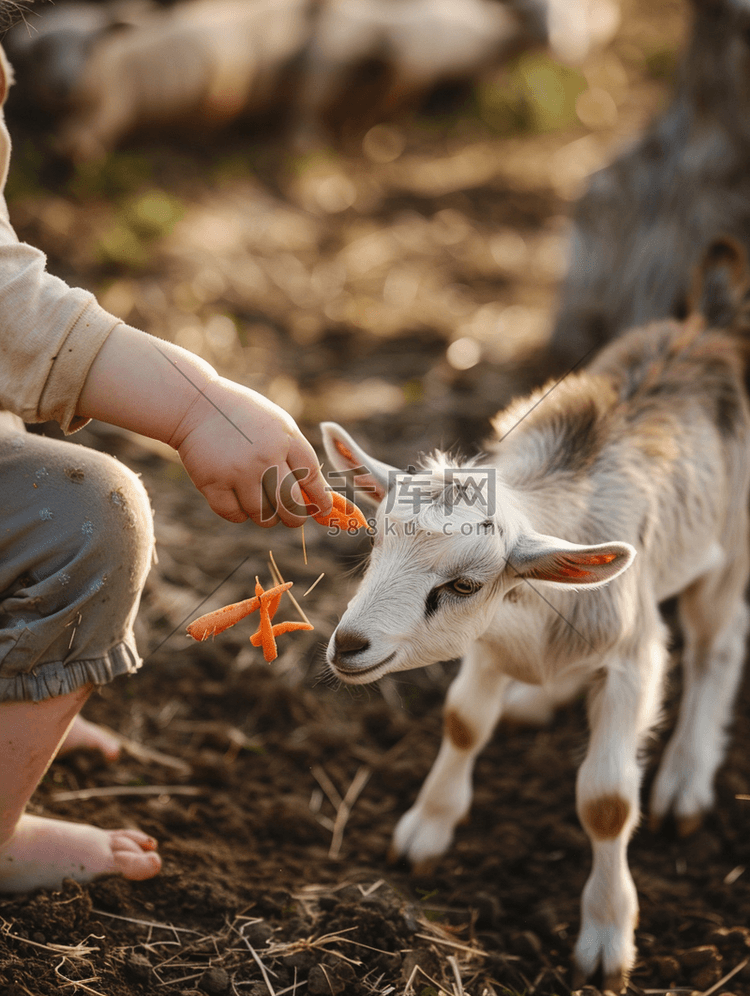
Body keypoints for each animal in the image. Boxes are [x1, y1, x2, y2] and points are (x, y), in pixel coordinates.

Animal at [320, 237, 750, 992]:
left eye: (464, 585)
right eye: (375, 543)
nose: (348, 645)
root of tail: (708, 324)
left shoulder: (632, 654)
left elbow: (607, 801)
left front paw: (606, 940)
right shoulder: (489, 648)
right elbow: (463, 722)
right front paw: (425, 830)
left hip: (728, 541)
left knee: (718, 642)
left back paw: (685, 781)